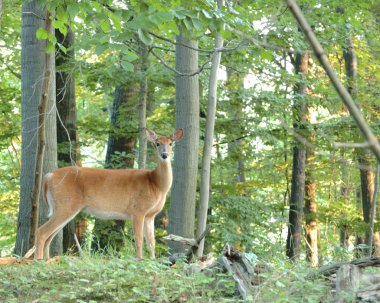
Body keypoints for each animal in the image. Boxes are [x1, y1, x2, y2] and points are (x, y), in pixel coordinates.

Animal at [32, 129, 184, 260]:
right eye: (157, 143)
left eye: (171, 143)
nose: (164, 155)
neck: (156, 184)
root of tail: (48, 176)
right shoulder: (138, 210)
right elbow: (139, 239)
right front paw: (139, 260)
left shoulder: (150, 215)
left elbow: (151, 242)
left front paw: (152, 261)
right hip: (66, 204)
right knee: (41, 232)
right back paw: (39, 260)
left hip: (62, 207)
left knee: (49, 236)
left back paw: (48, 260)